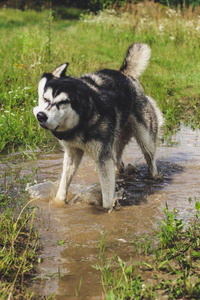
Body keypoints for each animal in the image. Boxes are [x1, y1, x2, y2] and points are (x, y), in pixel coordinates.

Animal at [33, 43, 163, 210]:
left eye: (63, 102)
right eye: (45, 98)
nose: (41, 116)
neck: (81, 123)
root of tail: (123, 74)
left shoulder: (103, 159)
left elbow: (107, 198)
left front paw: (107, 211)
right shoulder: (72, 153)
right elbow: (63, 186)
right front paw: (58, 204)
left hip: (145, 138)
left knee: (150, 159)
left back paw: (154, 177)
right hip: (116, 145)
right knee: (119, 162)